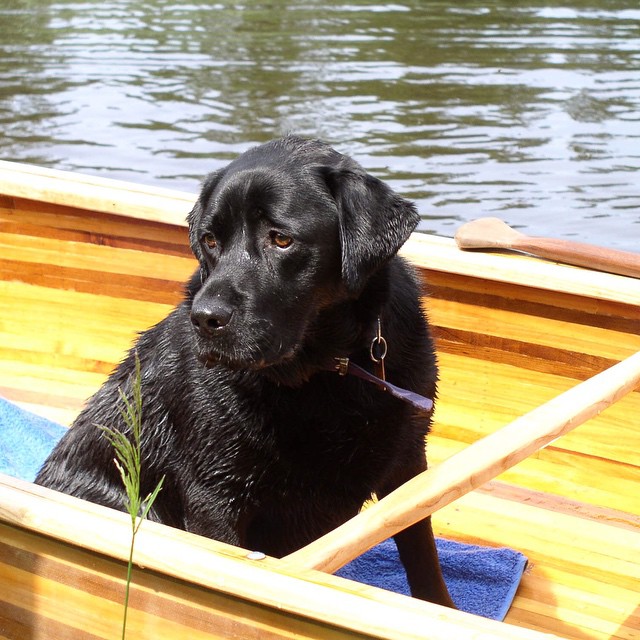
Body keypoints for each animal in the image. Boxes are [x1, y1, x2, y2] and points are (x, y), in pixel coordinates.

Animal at [36, 138, 456, 608]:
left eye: (282, 239)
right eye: (210, 240)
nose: (205, 318)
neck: (323, 373)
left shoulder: (409, 462)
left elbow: (422, 554)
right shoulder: (215, 496)